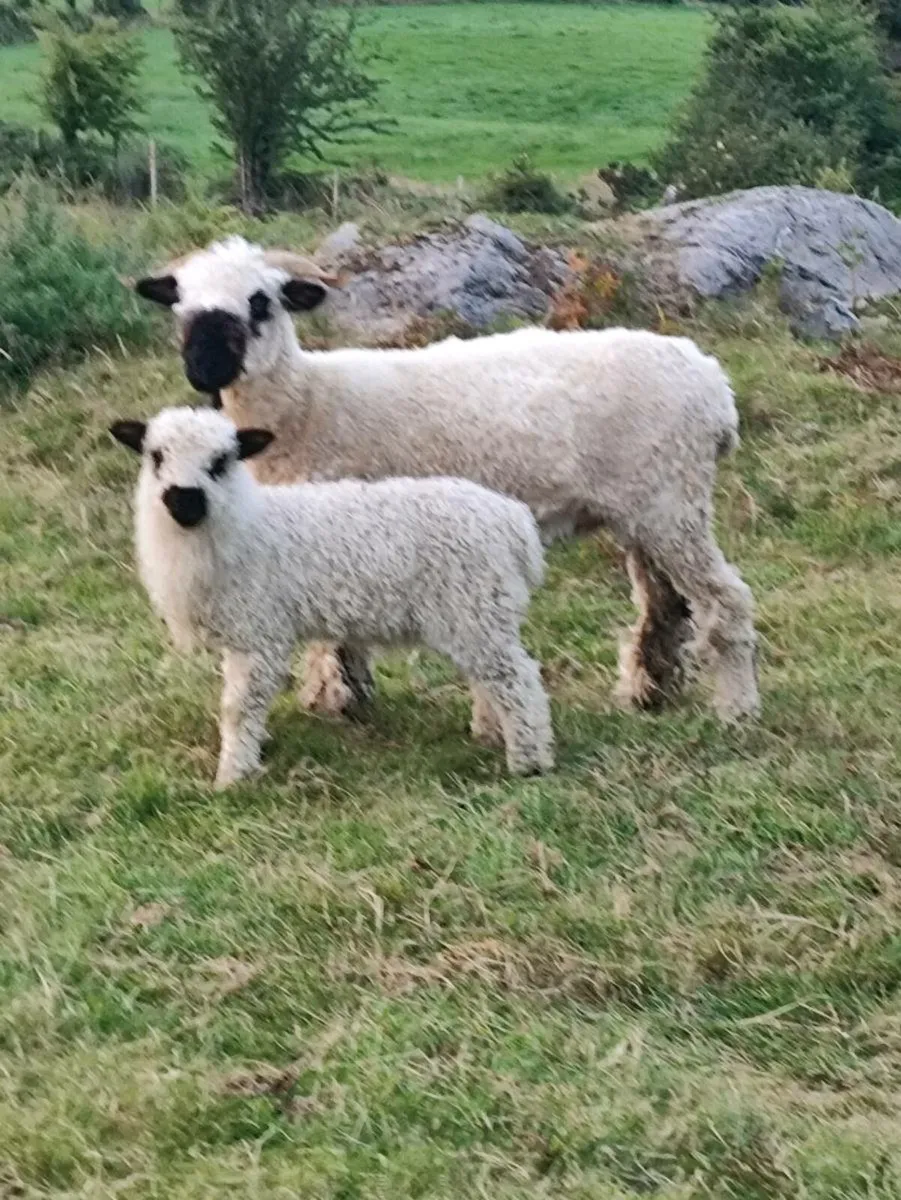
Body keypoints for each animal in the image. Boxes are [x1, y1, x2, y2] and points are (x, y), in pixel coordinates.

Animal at [110, 406, 555, 786]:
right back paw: (490, 732)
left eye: (221, 461)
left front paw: (234, 774)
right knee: (490, 677)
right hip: (478, 613)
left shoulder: (259, 632)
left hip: (475, 606)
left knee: (516, 679)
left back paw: (529, 760)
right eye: (156, 456)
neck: (246, 523)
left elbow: (239, 706)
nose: (183, 501)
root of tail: (515, 523)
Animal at [133, 235, 760, 725]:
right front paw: (349, 693)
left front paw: (332, 697)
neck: (307, 403)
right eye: (181, 304)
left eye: (260, 303)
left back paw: (736, 708)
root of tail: (714, 384)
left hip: (671, 501)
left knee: (724, 599)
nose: (204, 368)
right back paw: (648, 691)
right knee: (665, 606)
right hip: (641, 511)